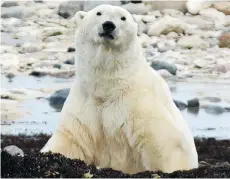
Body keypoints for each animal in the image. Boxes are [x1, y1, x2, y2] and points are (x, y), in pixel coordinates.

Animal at [41, 4, 198, 174]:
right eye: (99, 13)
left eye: (123, 18)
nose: (109, 25)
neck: (110, 87)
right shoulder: (84, 106)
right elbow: (70, 138)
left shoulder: (140, 103)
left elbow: (165, 140)